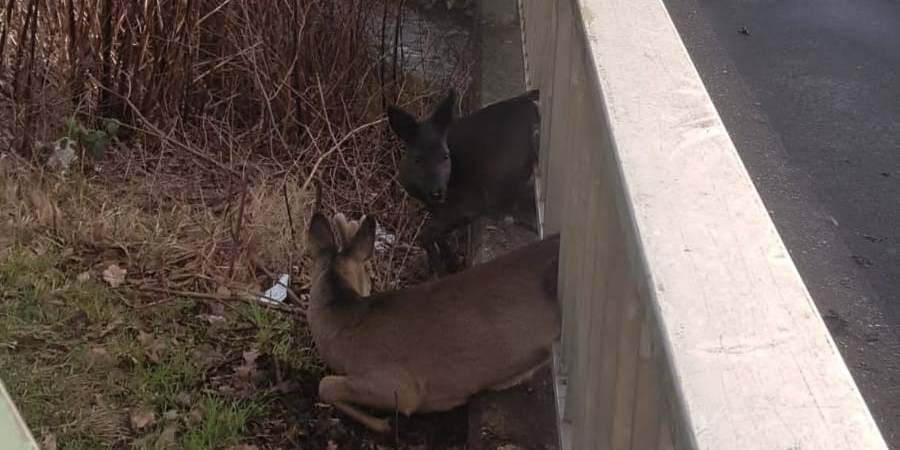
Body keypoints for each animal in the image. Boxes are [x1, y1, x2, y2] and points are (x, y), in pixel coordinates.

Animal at [388, 87, 540, 270]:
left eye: (445, 156)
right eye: (418, 159)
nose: (438, 191)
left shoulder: (469, 204)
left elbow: (425, 235)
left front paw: (441, 268)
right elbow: (436, 235)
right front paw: (449, 262)